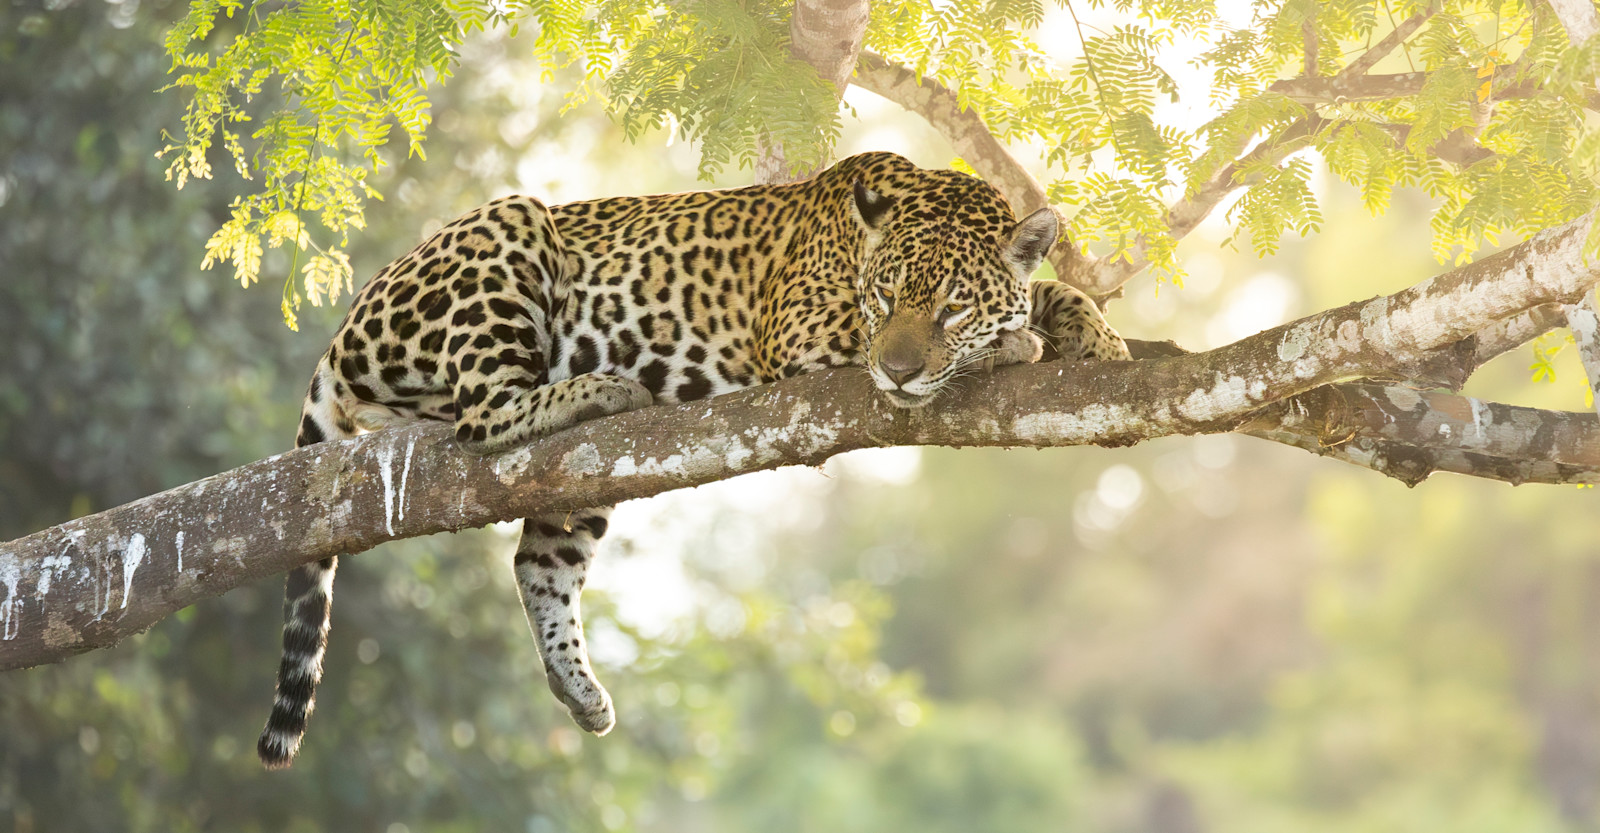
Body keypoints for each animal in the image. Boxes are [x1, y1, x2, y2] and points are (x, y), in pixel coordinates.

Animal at [257, 150, 1130, 769]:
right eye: (884, 298)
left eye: (952, 305)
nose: (901, 371)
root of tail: (347, 321)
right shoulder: (804, 329)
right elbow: (899, 336)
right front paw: (1014, 344)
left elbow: (1053, 291)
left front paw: (1099, 338)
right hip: (509, 231)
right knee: (483, 410)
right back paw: (601, 387)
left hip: (584, 472)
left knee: (537, 560)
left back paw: (579, 688)